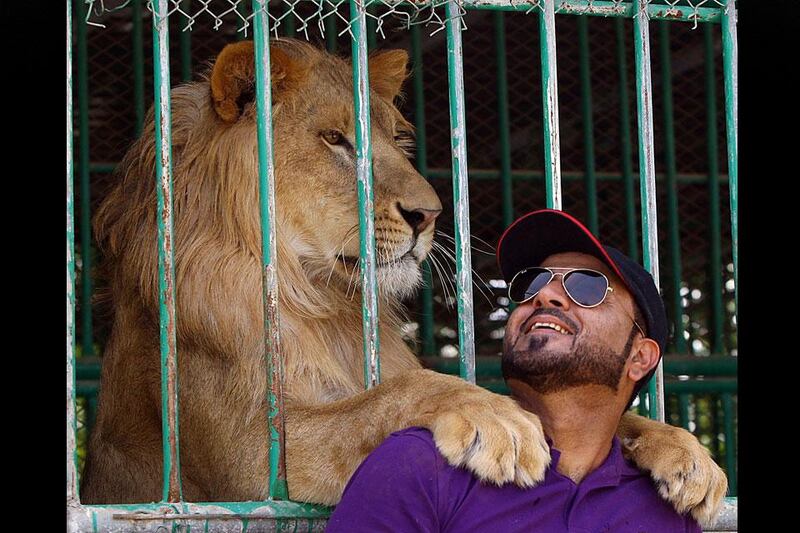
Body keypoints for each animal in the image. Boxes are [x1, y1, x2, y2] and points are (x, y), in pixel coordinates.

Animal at [79, 39, 724, 524]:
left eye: (396, 139)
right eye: (336, 140)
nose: (430, 214)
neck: (321, 303)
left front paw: (687, 454)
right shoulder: (250, 460)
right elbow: (391, 397)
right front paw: (496, 420)